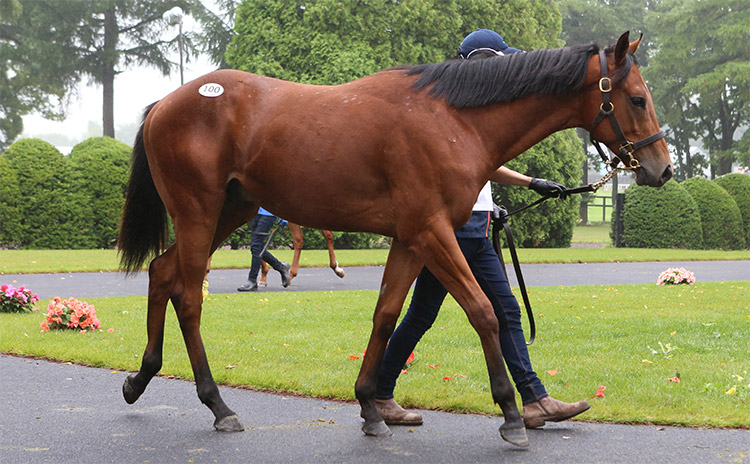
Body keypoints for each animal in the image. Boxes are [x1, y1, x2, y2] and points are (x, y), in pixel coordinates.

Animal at [119, 30, 676, 448]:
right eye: (636, 98)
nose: (662, 168)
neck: (452, 118)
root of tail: (167, 102)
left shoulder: (411, 239)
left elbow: (387, 315)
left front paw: (370, 404)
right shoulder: (433, 232)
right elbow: (484, 312)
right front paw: (512, 413)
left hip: (227, 212)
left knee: (162, 273)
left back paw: (141, 377)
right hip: (199, 212)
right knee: (188, 298)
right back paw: (218, 404)